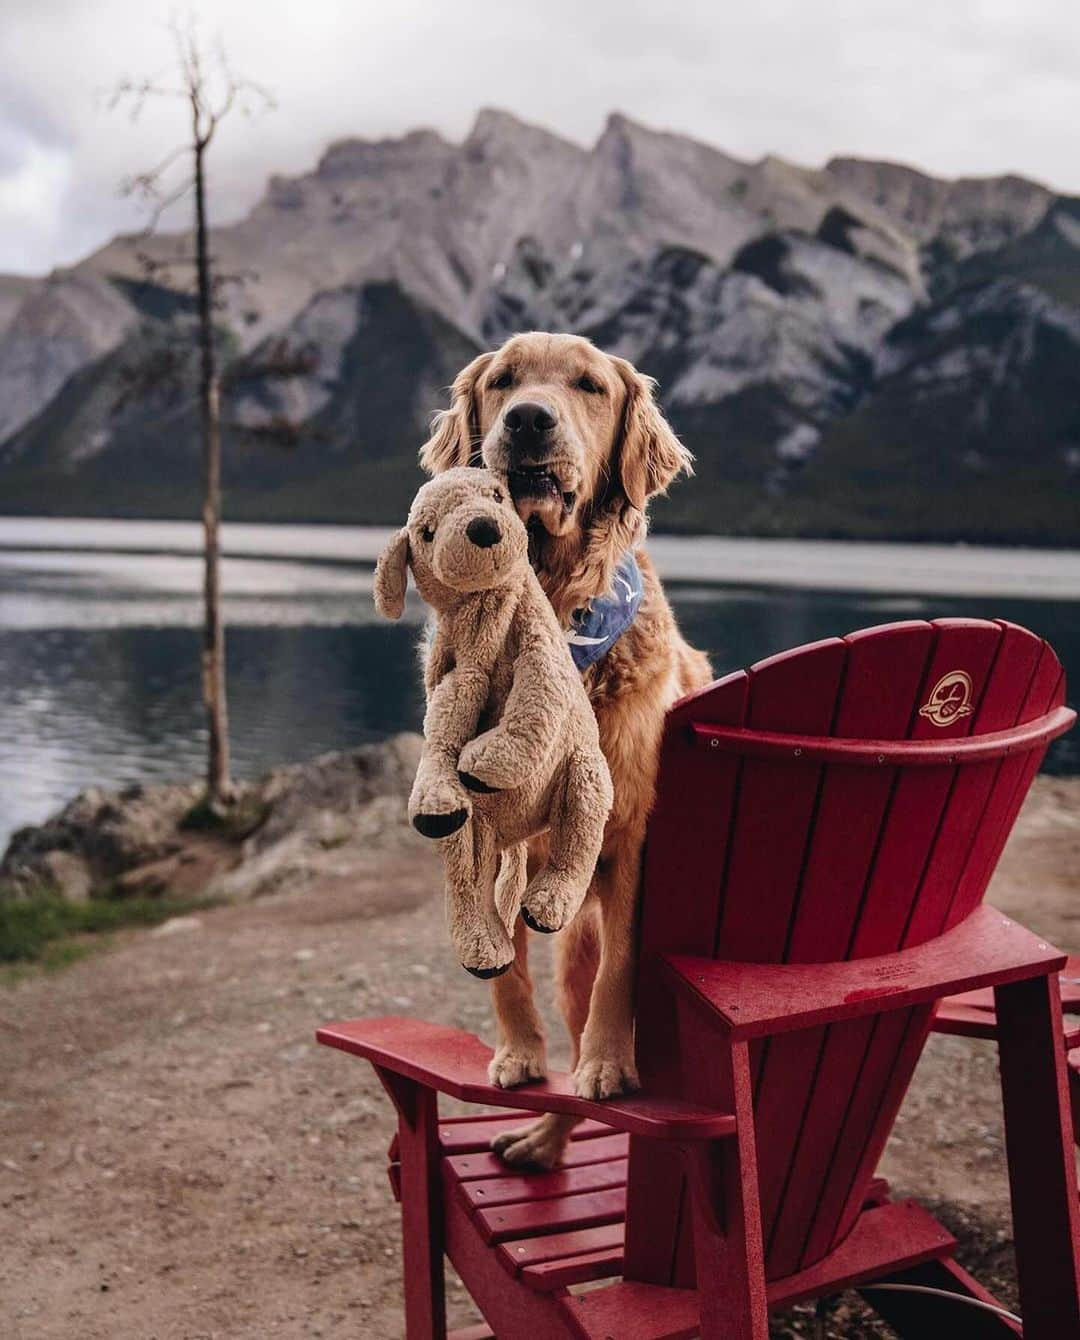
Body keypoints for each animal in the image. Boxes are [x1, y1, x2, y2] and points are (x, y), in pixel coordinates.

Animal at [420, 329, 712, 1168]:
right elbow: (504, 966)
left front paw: (609, 1064)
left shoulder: (634, 833)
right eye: (504, 380)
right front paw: (519, 1054)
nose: (527, 420)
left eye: (588, 385)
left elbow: (622, 969)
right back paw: (540, 1142)